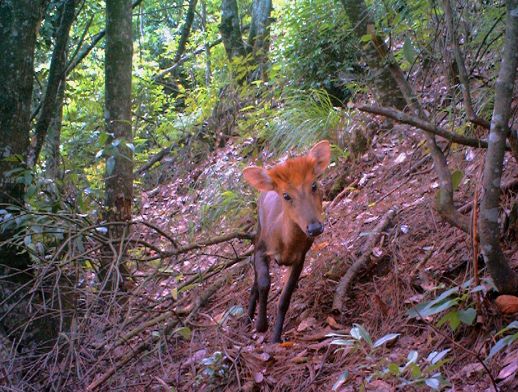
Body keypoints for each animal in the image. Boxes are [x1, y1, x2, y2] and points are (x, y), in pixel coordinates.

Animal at [245, 141, 334, 344]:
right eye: (286, 195)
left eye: (314, 185)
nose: (314, 228)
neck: (285, 243)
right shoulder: (262, 248)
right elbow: (263, 282)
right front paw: (261, 325)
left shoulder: (300, 257)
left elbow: (285, 298)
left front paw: (276, 337)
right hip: (258, 231)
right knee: (254, 278)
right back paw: (247, 317)